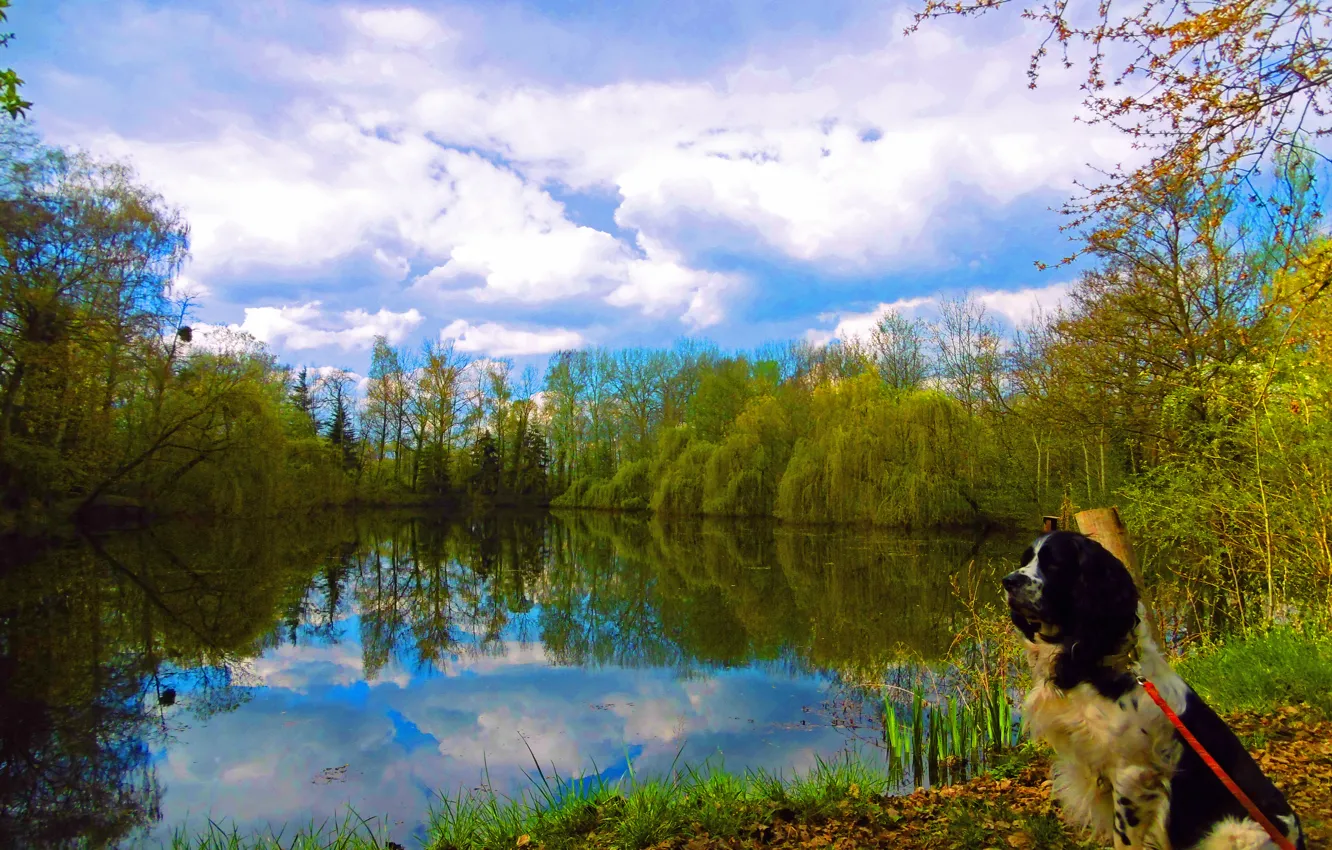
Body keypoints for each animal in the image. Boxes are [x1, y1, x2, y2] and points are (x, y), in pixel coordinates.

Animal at [1001, 532, 1300, 850]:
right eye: (1026, 559)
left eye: (1054, 562)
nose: (1008, 581)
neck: (1099, 662)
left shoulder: (1131, 775)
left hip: (1235, 832)